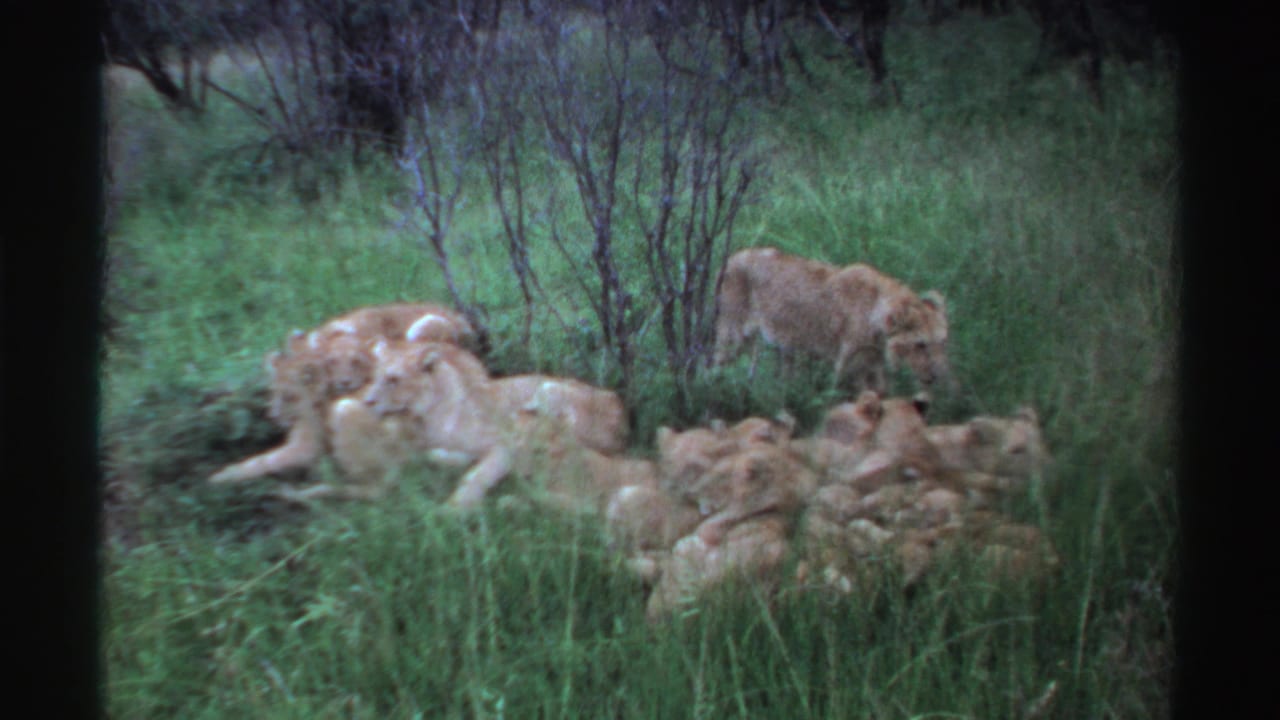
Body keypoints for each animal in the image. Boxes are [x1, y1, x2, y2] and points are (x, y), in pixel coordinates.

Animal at [712, 247, 950, 392]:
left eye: (941, 342)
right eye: (920, 344)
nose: (937, 376)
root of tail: (732, 257)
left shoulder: (874, 366)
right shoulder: (847, 362)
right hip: (733, 335)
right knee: (715, 364)